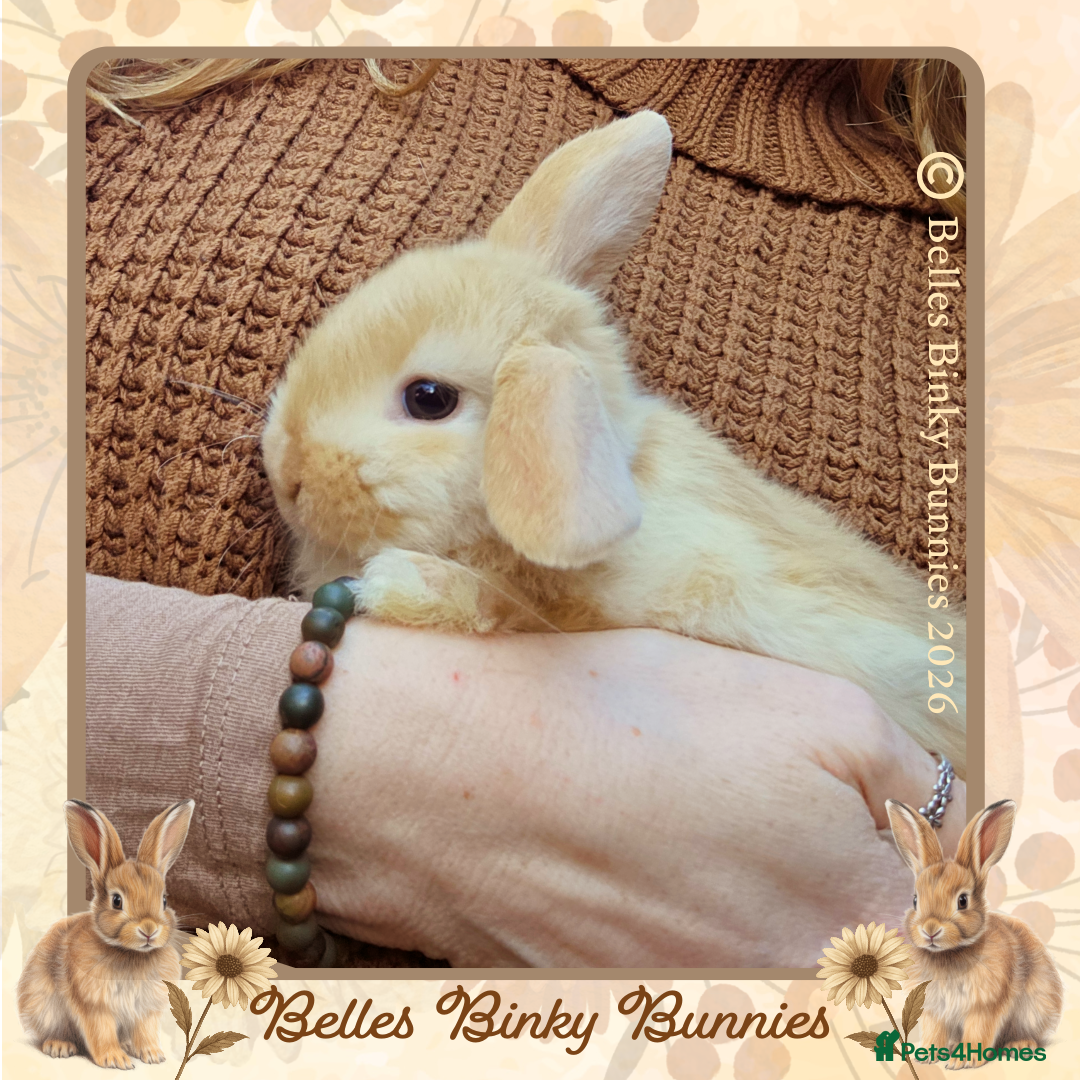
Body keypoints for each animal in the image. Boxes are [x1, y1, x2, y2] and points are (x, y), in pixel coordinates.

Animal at [17, 799, 195, 1069]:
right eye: (117, 901)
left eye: (164, 900)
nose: (149, 930)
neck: (131, 954)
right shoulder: (95, 1005)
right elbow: (101, 1031)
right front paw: (116, 1060)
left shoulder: (145, 1009)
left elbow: (145, 1031)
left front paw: (152, 1055)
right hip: (46, 1008)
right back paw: (59, 1046)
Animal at [886, 799, 1063, 1067]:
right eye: (915, 900)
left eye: (962, 901)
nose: (930, 930)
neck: (950, 954)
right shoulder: (935, 1009)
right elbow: (934, 1031)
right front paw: (927, 1055)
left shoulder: (984, 1005)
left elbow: (978, 1031)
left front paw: (963, 1061)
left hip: (1034, 1009)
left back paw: (1019, 1045)